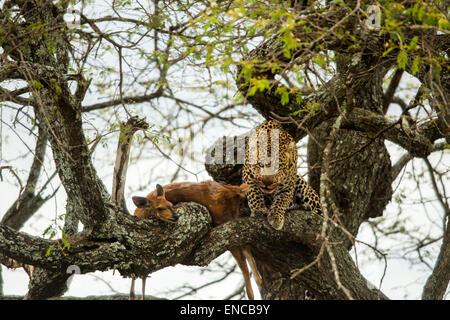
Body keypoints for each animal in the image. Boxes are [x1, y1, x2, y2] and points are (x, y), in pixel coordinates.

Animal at [132, 182, 262, 300]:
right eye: (159, 208)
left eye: (170, 204)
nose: (176, 216)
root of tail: (233, 190)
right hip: (232, 221)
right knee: (247, 252)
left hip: (223, 221)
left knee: (243, 259)